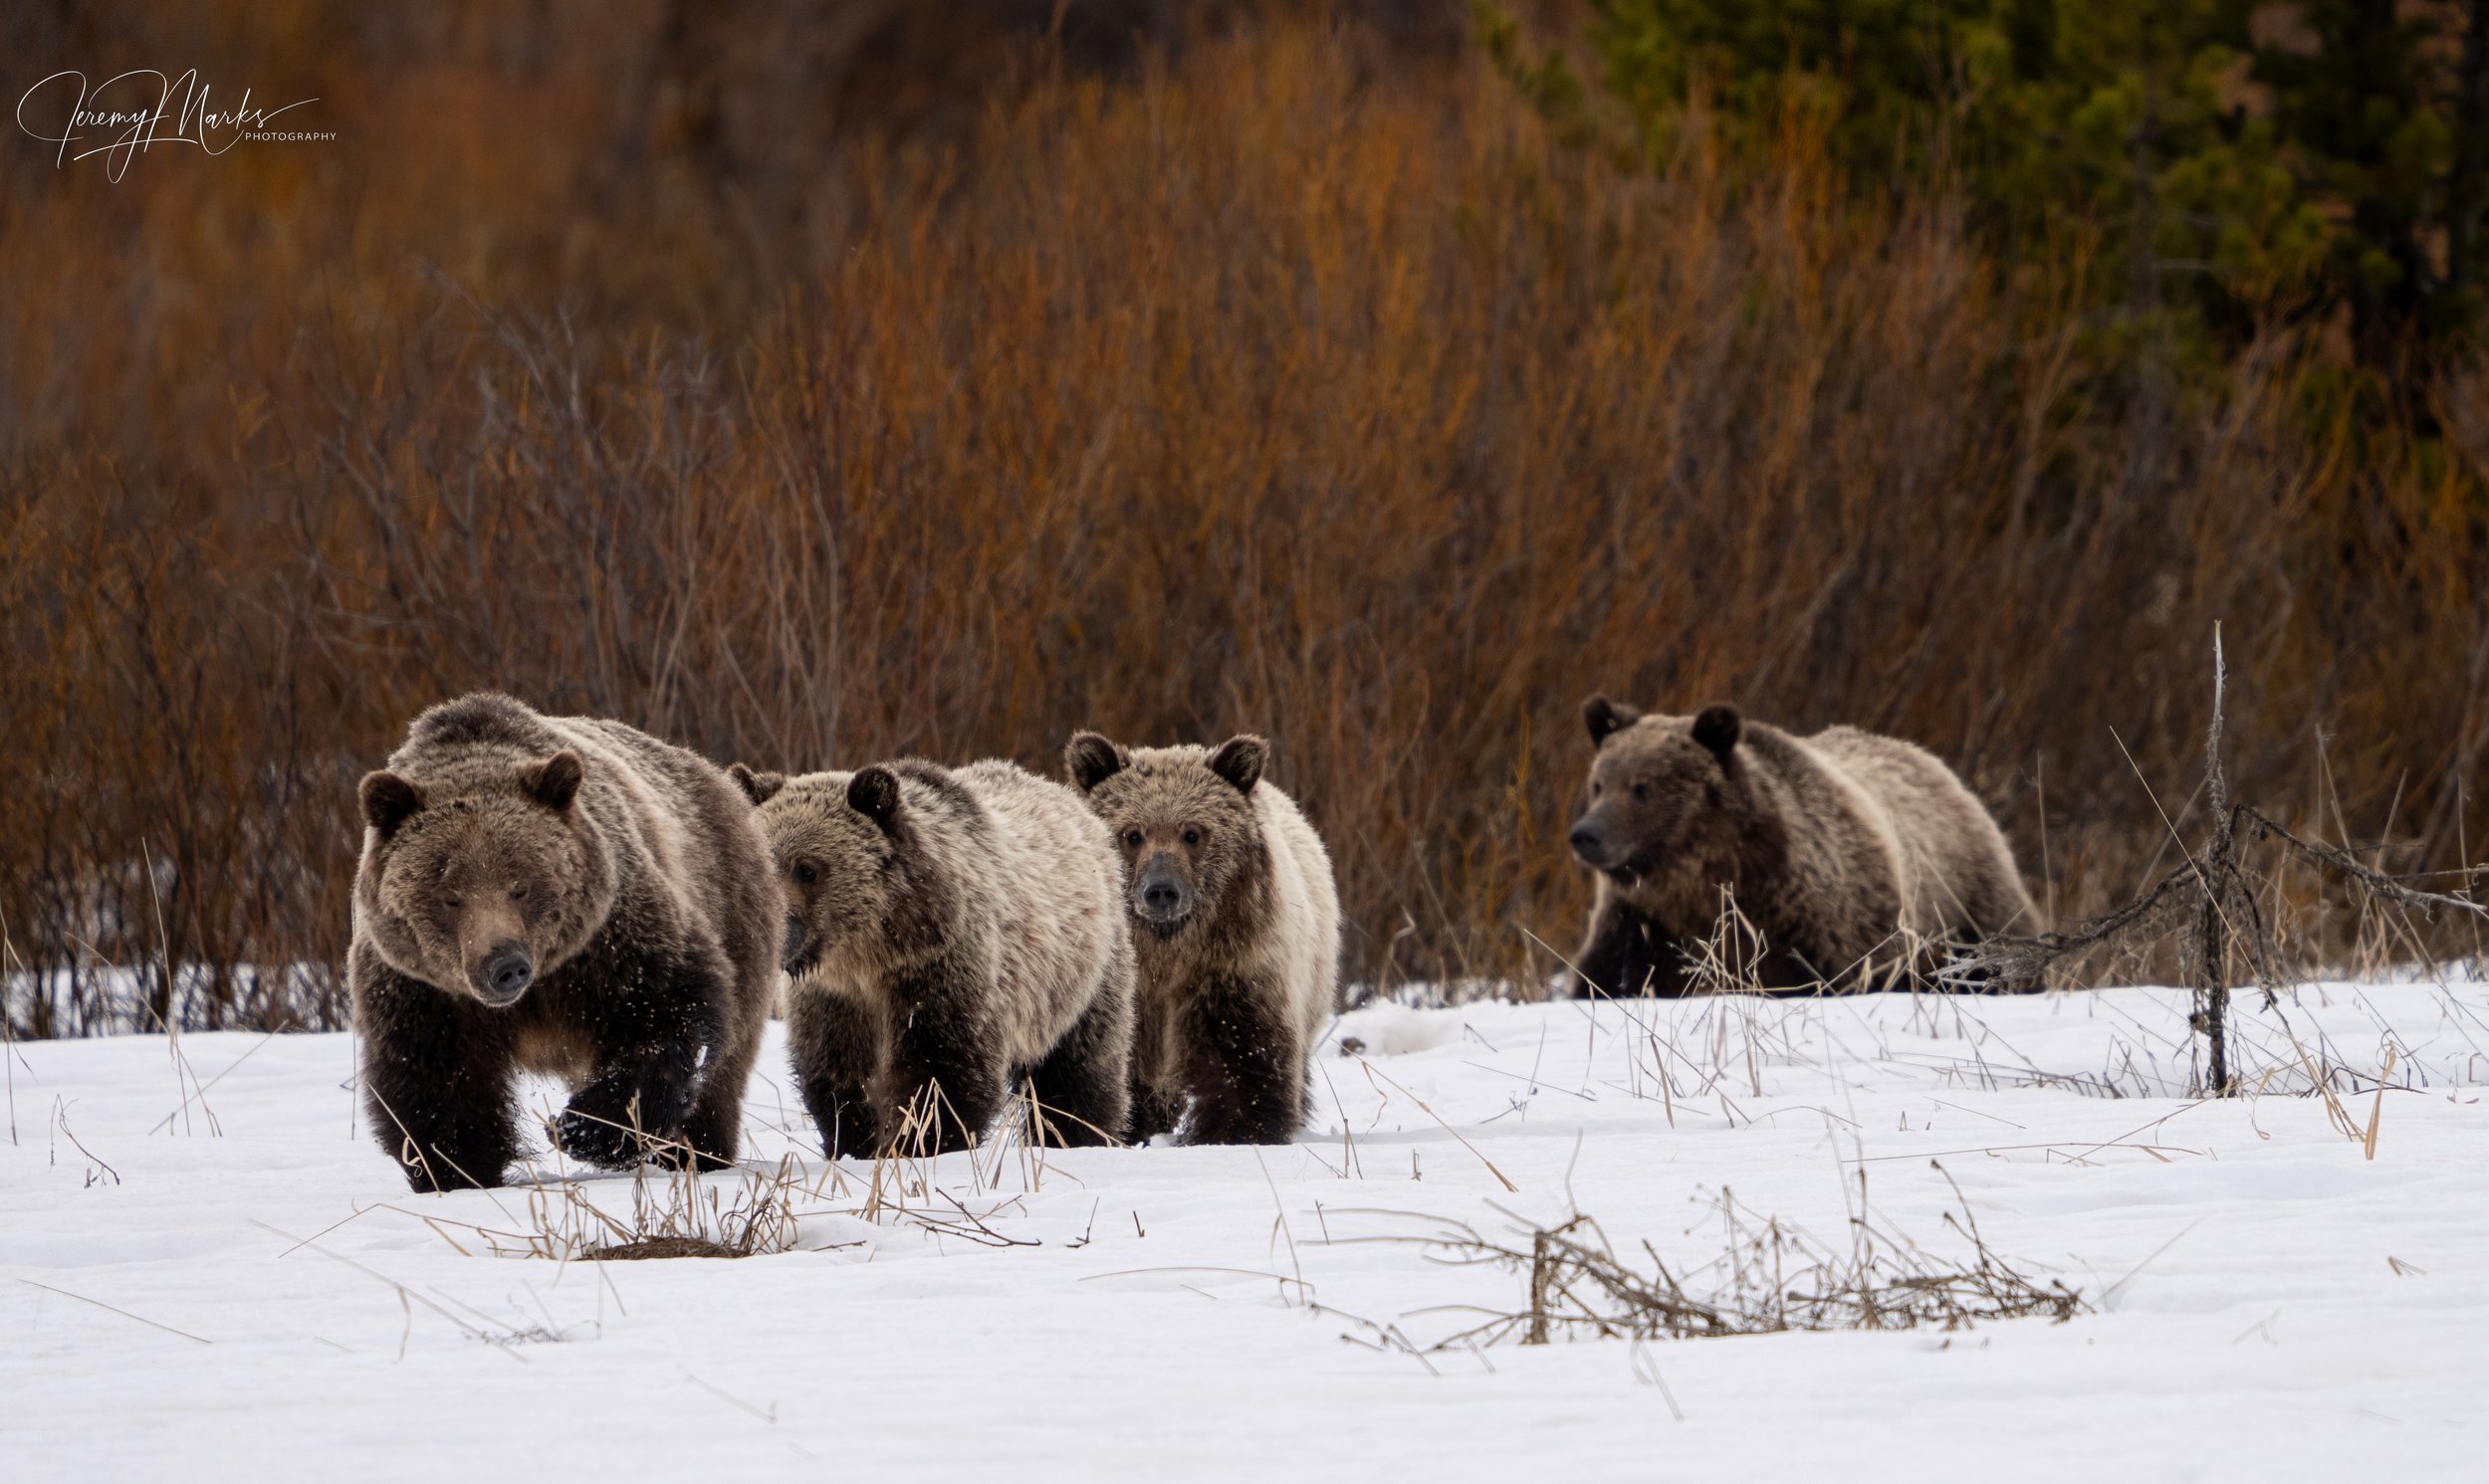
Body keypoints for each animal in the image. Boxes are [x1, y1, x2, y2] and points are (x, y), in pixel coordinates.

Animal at [349, 693, 776, 1191]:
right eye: (449, 895)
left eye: (521, 885)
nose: (506, 966)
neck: (536, 991)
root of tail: (714, 774)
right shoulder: (422, 988)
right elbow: (437, 1078)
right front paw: (457, 1170)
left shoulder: (610, 943)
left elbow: (664, 1015)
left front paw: (580, 1128)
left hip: (733, 907)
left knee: (723, 1069)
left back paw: (696, 1153)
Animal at [729, 757, 1134, 1157]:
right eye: (761, 860)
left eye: (806, 868)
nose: (772, 931)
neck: (872, 952)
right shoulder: (834, 997)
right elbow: (836, 1070)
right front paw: (853, 1143)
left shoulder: (941, 969)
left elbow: (940, 1071)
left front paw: (918, 1143)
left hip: (1081, 975)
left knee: (1079, 1069)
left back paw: (1078, 1135)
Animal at [1062, 733, 1342, 1145]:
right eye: (1132, 833)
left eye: (1192, 832)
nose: (1161, 891)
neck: (1166, 953)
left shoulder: (1234, 969)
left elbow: (1242, 1061)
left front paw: (1236, 1132)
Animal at [1566, 697, 2037, 997]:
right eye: (1599, 783)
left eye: (1642, 787)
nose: (1585, 834)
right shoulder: (1643, 926)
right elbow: (1606, 980)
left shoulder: (1813, 922)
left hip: (1966, 907)